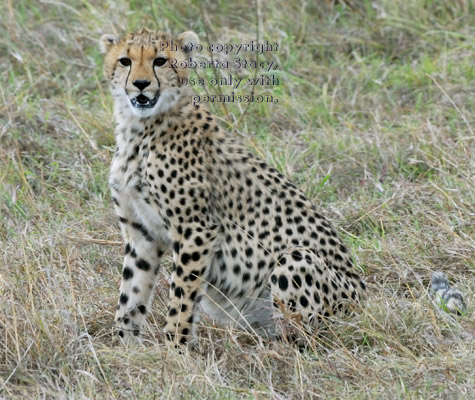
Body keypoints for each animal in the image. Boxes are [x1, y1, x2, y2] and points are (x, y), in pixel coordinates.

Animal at [100, 28, 366, 346]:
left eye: (160, 61)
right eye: (125, 61)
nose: (141, 84)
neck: (139, 128)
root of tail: (366, 300)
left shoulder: (196, 231)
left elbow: (182, 297)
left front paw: (174, 348)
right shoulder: (141, 234)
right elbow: (131, 295)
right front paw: (124, 346)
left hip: (296, 261)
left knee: (308, 338)